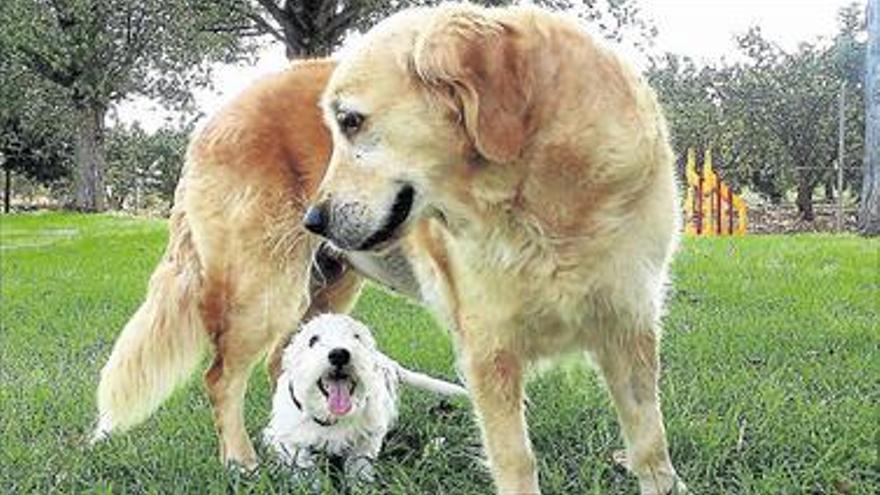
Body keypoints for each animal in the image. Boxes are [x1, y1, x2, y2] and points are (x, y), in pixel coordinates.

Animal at [262, 316, 464, 482]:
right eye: (312, 340)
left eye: (356, 336)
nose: (339, 354)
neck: (332, 418)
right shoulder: (285, 439)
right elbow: (303, 468)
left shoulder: (367, 438)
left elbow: (360, 467)